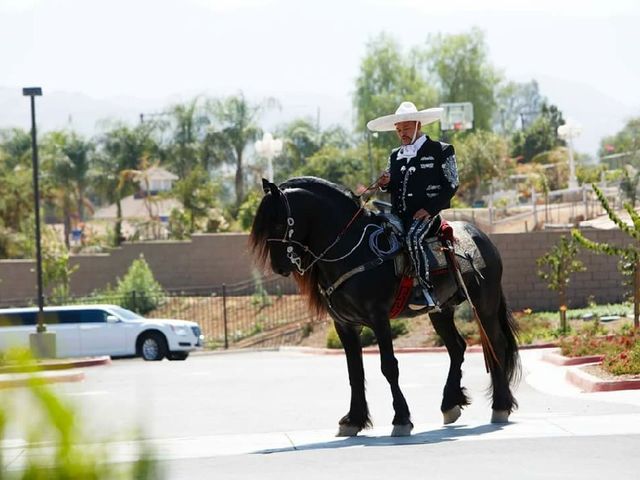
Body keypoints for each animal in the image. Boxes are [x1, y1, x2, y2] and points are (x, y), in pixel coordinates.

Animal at [250, 177, 520, 438]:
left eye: (277, 223)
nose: (279, 267)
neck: (353, 249)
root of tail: (481, 236)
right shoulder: (344, 325)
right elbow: (354, 372)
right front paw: (353, 420)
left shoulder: (379, 318)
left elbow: (389, 367)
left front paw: (401, 419)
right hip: (441, 310)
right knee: (457, 348)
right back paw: (450, 404)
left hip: (484, 304)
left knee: (496, 344)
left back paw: (500, 406)